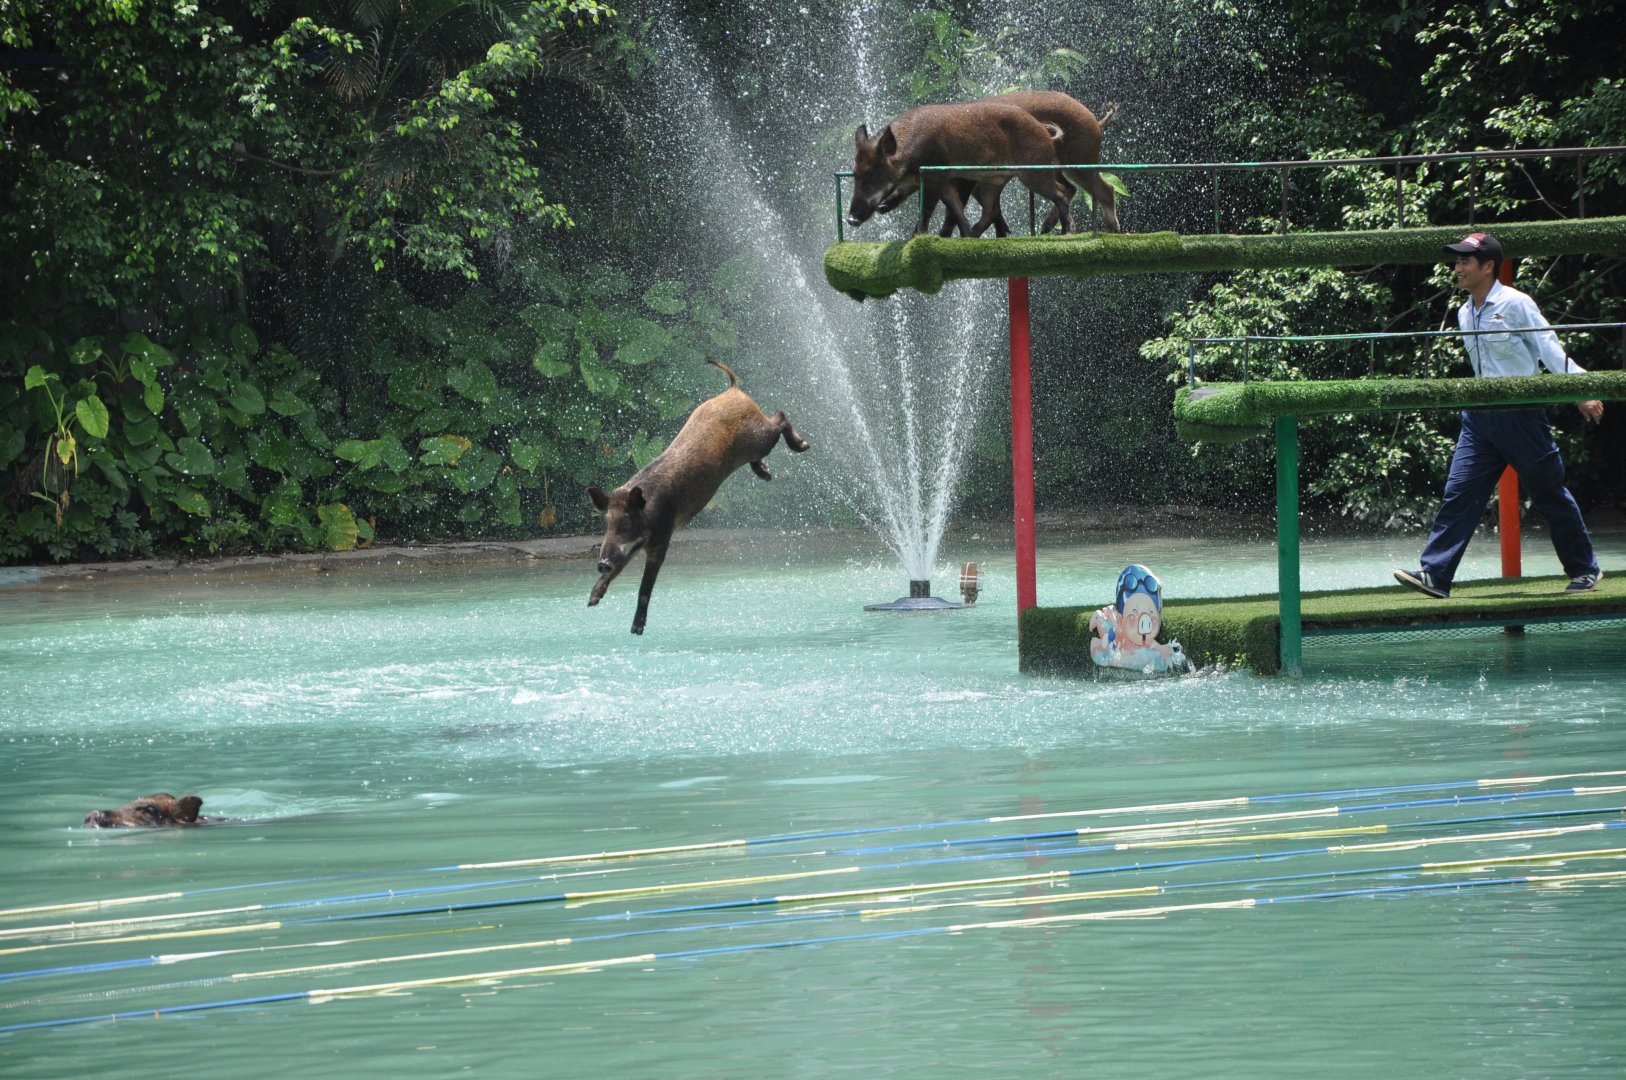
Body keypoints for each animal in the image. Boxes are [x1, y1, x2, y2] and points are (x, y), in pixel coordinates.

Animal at [586, 360, 808, 635]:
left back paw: (802, 446)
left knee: (780, 416)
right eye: (606, 523)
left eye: (626, 523)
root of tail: (734, 390)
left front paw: (636, 630)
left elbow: (645, 587)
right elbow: (620, 568)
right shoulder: (634, 546)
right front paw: (591, 600)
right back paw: (766, 474)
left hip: (760, 437)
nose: (602, 562)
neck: (647, 512)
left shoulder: (662, 539)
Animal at [846, 100, 1074, 237]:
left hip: (1033, 172)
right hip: (992, 181)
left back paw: (1065, 233)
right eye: (855, 174)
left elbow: (927, 209)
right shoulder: (943, 180)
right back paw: (972, 236)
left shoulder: (934, 175)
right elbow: (954, 207)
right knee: (990, 210)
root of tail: (1045, 131)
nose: (851, 219)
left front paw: (919, 238)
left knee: (1062, 192)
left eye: (873, 174)